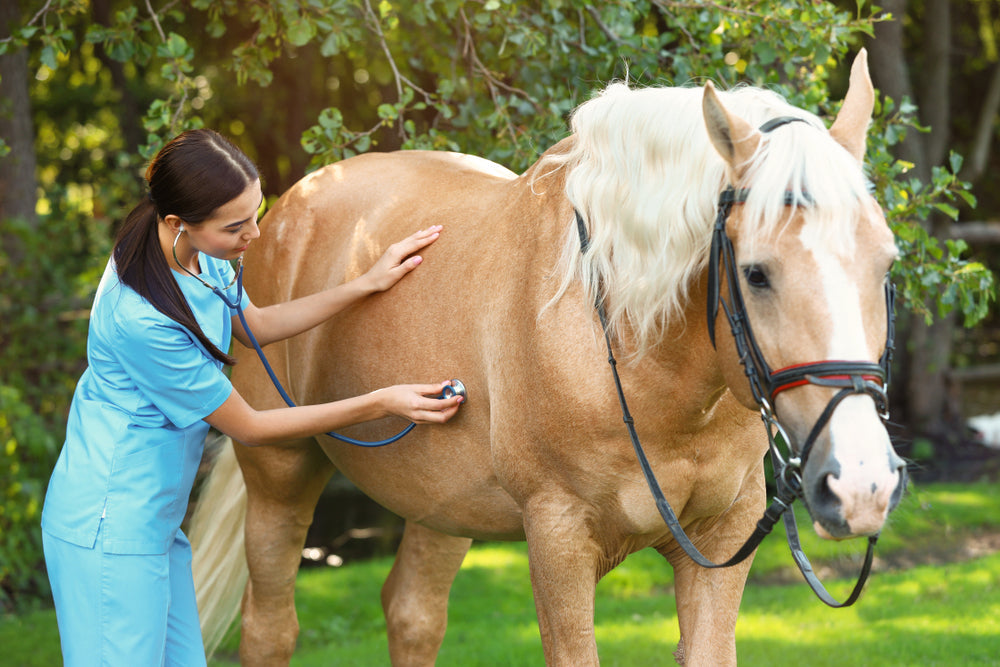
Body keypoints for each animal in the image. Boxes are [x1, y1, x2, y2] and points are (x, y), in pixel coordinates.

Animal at [189, 50, 906, 666]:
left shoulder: (721, 540)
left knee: (412, 613)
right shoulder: (558, 539)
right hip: (281, 473)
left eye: (886, 263)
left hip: (439, 502)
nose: (861, 483)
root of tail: (285, 211)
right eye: (756, 273)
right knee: (270, 628)